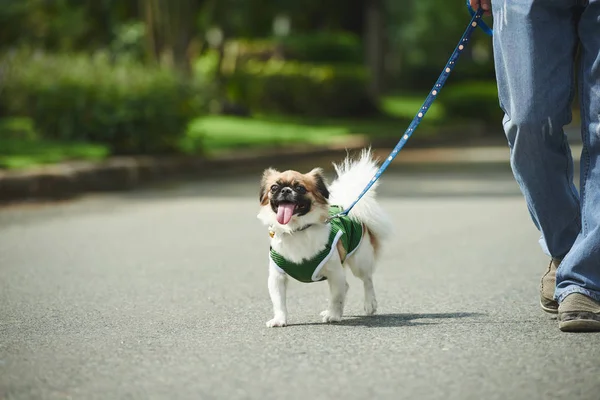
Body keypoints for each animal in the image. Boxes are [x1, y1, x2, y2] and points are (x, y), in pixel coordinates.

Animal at [258, 148, 394, 326]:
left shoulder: (334, 272)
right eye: (274, 187)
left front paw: (333, 315)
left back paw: (369, 304)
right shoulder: (277, 276)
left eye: (300, 188)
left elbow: (336, 297)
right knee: (347, 286)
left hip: (360, 261)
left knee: (367, 280)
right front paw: (279, 320)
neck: (297, 229)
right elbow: (279, 301)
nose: (286, 190)